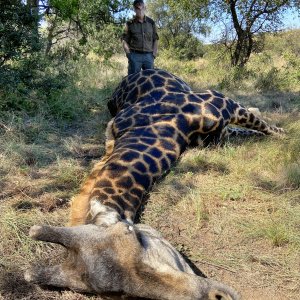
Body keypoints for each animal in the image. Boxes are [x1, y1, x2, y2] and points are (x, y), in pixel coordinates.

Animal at [25, 68, 282, 300]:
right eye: (120, 294)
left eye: (134, 236)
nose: (219, 296)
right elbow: (247, 129)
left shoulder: (220, 101)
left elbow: (265, 127)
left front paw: (284, 133)